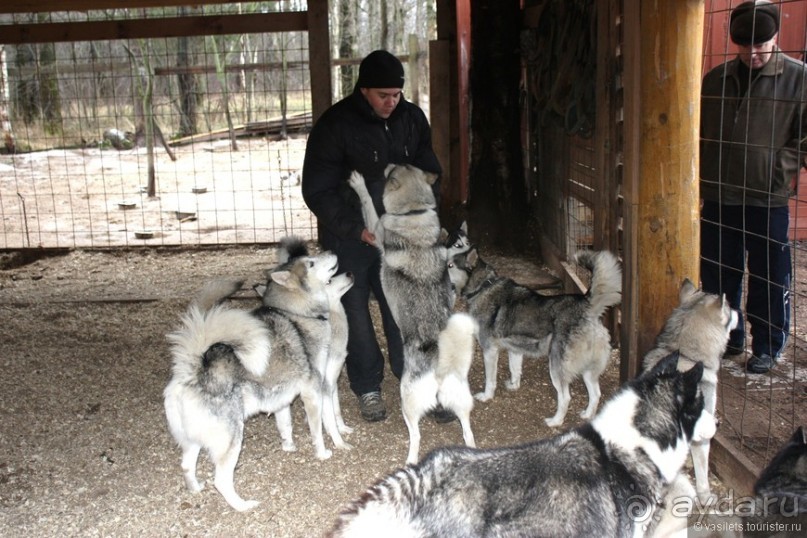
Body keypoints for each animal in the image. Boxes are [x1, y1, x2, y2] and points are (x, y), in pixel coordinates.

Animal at [164, 245, 340, 508]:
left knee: (186, 465)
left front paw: (289, 447)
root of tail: (192, 371)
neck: (297, 313)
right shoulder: (312, 392)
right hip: (232, 438)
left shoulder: (281, 399)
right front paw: (322, 453)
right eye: (310, 263)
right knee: (221, 481)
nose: (331, 250)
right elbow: (317, 430)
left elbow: (285, 425)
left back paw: (195, 490)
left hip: (193, 440)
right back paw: (243, 506)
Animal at [348, 164, 476, 464]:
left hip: (408, 403)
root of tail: (441, 366)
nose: (384, 166)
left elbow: (368, 203)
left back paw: (410, 460)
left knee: (416, 436)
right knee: (467, 432)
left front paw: (358, 183)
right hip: (461, 405)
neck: (414, 213)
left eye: (391, 169)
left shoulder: (375, 229)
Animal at [448, 245, 620, 426]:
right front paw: (514, 386)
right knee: (595, 394)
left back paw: (555, 421)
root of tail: (586, 306)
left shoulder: (489, 350)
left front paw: (487, 396)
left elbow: (490, 379)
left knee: (566, 397)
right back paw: (588, 415)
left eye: (450, 265)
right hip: (588, 370)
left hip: (556, 367)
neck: (483, 287)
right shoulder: (515, 349)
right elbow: (515, 370)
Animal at [644, 276, 740, 502]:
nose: (739, 312)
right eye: (730, 309)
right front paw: (705, 496)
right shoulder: (702, 432)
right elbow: (702, 471)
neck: (687, 356)